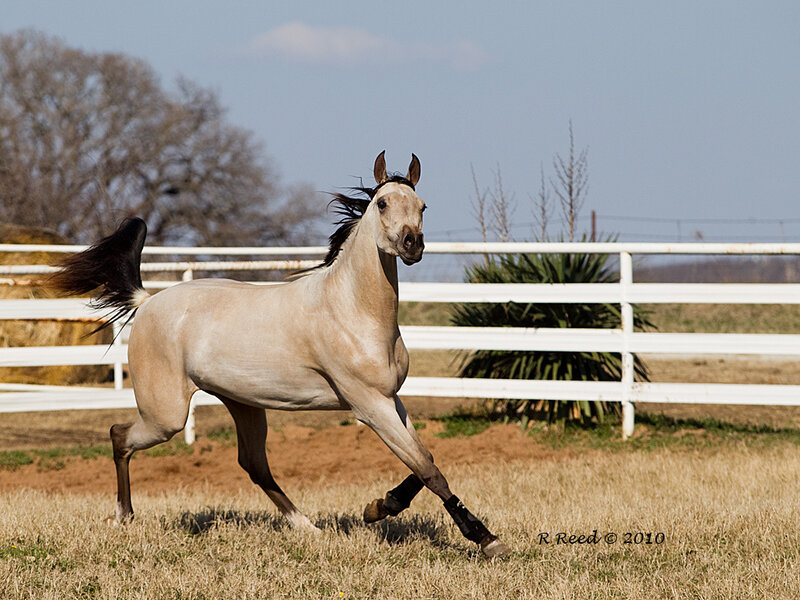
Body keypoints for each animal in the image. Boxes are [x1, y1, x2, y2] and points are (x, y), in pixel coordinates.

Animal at [51, 151, 510, 558]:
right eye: (382, 203)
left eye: (422, 206)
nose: (413, 245)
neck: (350, 309)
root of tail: (147, 301)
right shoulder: (369, 406)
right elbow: (428, 469)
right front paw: (486, 539)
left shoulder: (391, 400)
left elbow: (423, 460)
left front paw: (378, 508)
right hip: (166, 415)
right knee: (119, 435)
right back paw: (122, 516)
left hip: (242, 404)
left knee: (254, 464)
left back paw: (308, 527)